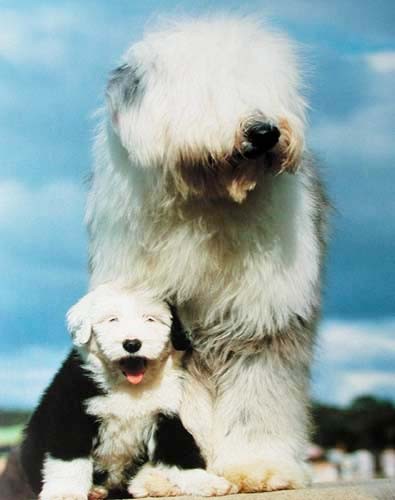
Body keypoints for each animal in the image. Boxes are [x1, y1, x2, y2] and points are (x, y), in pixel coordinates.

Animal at [20, 286, 234, 500]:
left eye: (150, 319)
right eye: (112, 319)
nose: (132, 344)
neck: (130, 388)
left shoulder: (167, 415)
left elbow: (179, 452)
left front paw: (204, 481)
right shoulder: (73, 411)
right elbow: (70, 458)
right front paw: (65, 493)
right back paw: (95, 490)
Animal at [88, 14, 330, 492]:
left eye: (266, 83)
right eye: (209, 88)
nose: (265, 132)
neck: (210, 203)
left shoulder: (262, 317)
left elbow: (260, 394)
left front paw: (257, 467)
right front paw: (175, 476)